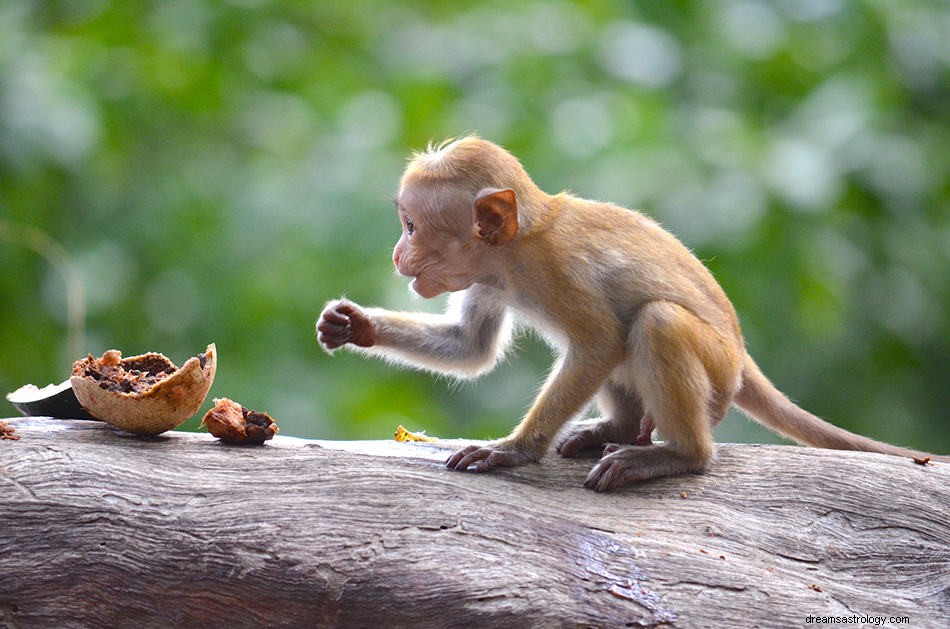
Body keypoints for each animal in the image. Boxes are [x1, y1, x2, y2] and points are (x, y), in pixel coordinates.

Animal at [318, 136, 936, 490]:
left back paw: (677, 456)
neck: (517, 248)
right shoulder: (490, 279)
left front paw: (513, 451)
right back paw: (614, 429)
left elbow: (598, 342)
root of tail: (741, 355)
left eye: (411, 226)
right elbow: (470, 347)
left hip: (716, 375)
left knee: (653, 323)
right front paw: (352, 325)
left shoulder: (557, 268)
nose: (397, 254)